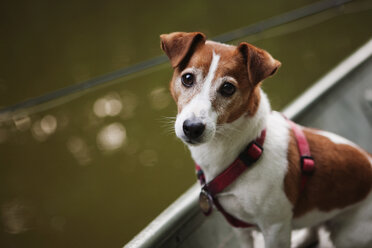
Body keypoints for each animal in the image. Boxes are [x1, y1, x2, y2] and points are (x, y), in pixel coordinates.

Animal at [160, 32, 372, 247]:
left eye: (228, 88)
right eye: (187, 78)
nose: (192, 128)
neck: (246, 151)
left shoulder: (274, 228)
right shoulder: (240, 230)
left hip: (347, 235)